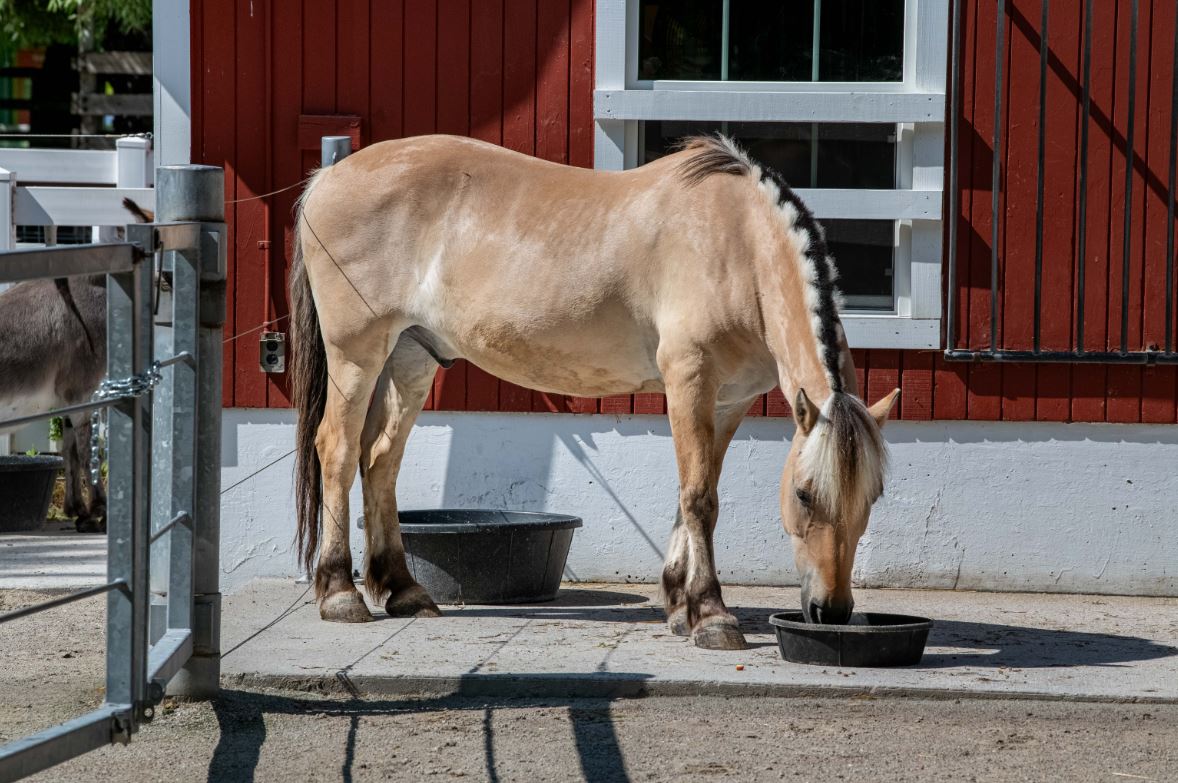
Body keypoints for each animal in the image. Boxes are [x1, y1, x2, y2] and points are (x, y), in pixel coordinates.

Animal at [289, 133, 895, 645]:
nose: (831, 611)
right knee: (337, 451)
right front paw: (711, 614)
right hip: (357, 356)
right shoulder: (690, 381)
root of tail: (328, 177)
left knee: (380, 460)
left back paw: (403, 590)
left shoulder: (729, 401)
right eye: (804, 494)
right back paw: (340, 594)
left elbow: (693, 493)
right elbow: (700, 498)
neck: (736, 243)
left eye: (873, 496)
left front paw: (678, 604)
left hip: (411, 356)